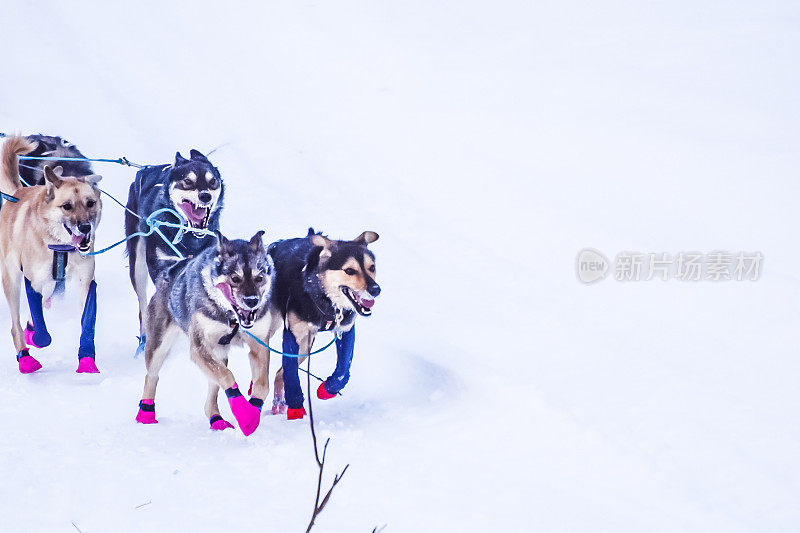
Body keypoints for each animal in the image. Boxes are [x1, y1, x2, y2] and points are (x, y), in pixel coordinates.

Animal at [0, 135, 103, 372]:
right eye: (67, 206)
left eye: (90, 203)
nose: (85, 227)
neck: (61, 247)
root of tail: (16, 193)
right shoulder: (33, 280)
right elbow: (39, 323)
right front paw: (38, 337)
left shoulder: (86, 282)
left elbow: (88, 322)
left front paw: (87, 359)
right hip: (11, 280)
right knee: (16, 325)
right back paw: (25, 357)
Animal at [268, 229, 380, 420]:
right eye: (349, 270)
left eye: (371, 267)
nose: (376, 290)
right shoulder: (293, 334)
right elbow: (292, 374)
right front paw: (296, 408)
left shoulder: (345, 331)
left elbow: (343, 369)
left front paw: (328, 389)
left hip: (305, 348)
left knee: (279, 373)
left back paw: (278, 405)